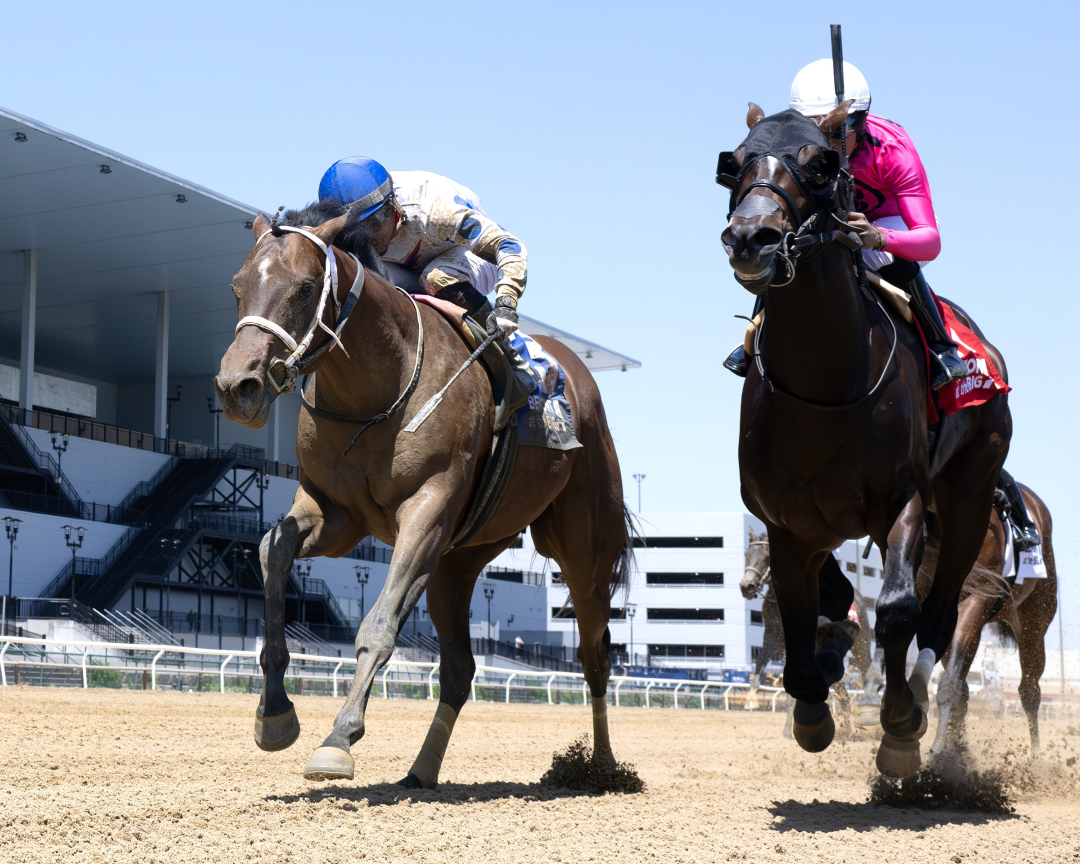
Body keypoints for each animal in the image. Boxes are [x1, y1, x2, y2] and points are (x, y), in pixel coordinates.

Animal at [213, 209, 630, 790]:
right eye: (236, 287)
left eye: (304, 287)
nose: (238, 387)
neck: (378, 388)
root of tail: (578, 372)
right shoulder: (336, 513)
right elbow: (272, 551)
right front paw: (274, 715)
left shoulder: (427, 511)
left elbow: (378, 624)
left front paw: (338, 739)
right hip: (459, 561)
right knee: (460, 669)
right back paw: (420, 771)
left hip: (585, 552)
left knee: (595, 657)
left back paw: (602, 768)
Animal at [717, 104, 1010, 777]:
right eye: (733, 162)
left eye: (820, 164)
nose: (751, 238)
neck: (823, 386)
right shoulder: (786, 519)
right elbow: (805, 621)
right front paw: (813, 707)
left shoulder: (902, 500)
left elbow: (897, 608)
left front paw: (900, 727)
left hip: (968, 498)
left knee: (939, 611)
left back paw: (920, 695)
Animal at [924, 486, 1058, 756]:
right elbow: (958, 686)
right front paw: (955, 754)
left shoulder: (976, 598)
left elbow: (951, 685)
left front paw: (939, 755)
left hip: (1033, 623)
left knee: (1029, 690)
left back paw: (1036, 759)